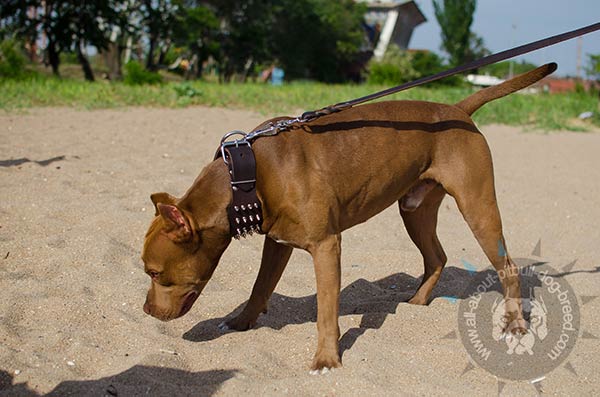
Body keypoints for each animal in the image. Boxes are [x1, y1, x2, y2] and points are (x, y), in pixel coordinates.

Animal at [141, 62, 556, 372]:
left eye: (155, 273)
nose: (145, 310)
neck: (245, 176)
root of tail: (456, 110)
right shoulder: (277, 244)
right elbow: (260, 288)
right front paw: (242, 322)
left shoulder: (326, 247)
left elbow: (326, 310)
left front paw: (327, 358)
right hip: (415, 210)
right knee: (436, 257)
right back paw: (418, 302)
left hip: (477, 207)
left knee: (507, 266)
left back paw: (515, 324)